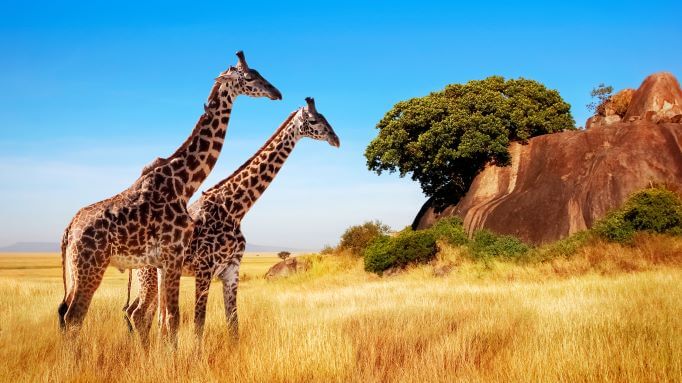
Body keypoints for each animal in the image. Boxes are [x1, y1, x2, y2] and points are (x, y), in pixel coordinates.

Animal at [57, 49, 282, 346]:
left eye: (259, 72)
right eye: (248, 77)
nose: (276, 92)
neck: (183, 183)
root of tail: (68, 230)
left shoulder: (166, 261)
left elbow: (167, 320)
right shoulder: (174, 255)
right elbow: (173, 319)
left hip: (76, 271)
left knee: (65, 315)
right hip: (90, 267)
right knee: (75, 317)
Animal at [124, 97, 338, 340]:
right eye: (314, 120)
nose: (336, 139)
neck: (234, 209)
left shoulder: (231, 270)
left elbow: (234, 324)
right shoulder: (205, 269)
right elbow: (199, 324)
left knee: (147, 315)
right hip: (149, 275)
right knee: (139, 313)